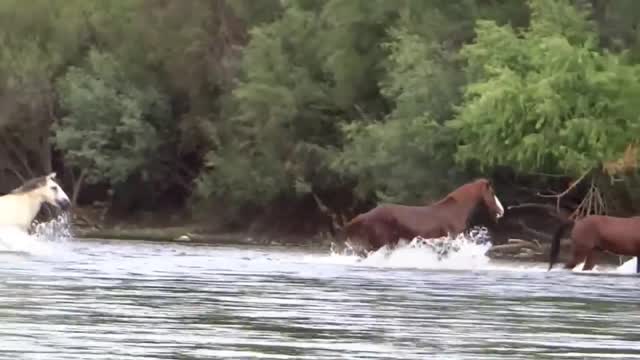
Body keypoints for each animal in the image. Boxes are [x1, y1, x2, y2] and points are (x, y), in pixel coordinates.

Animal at [342, 178, 502, 256]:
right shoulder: (452, 239)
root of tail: (364, 216)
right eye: (492, 193)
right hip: (380, 245)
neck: (456, 210)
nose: (502, 211)